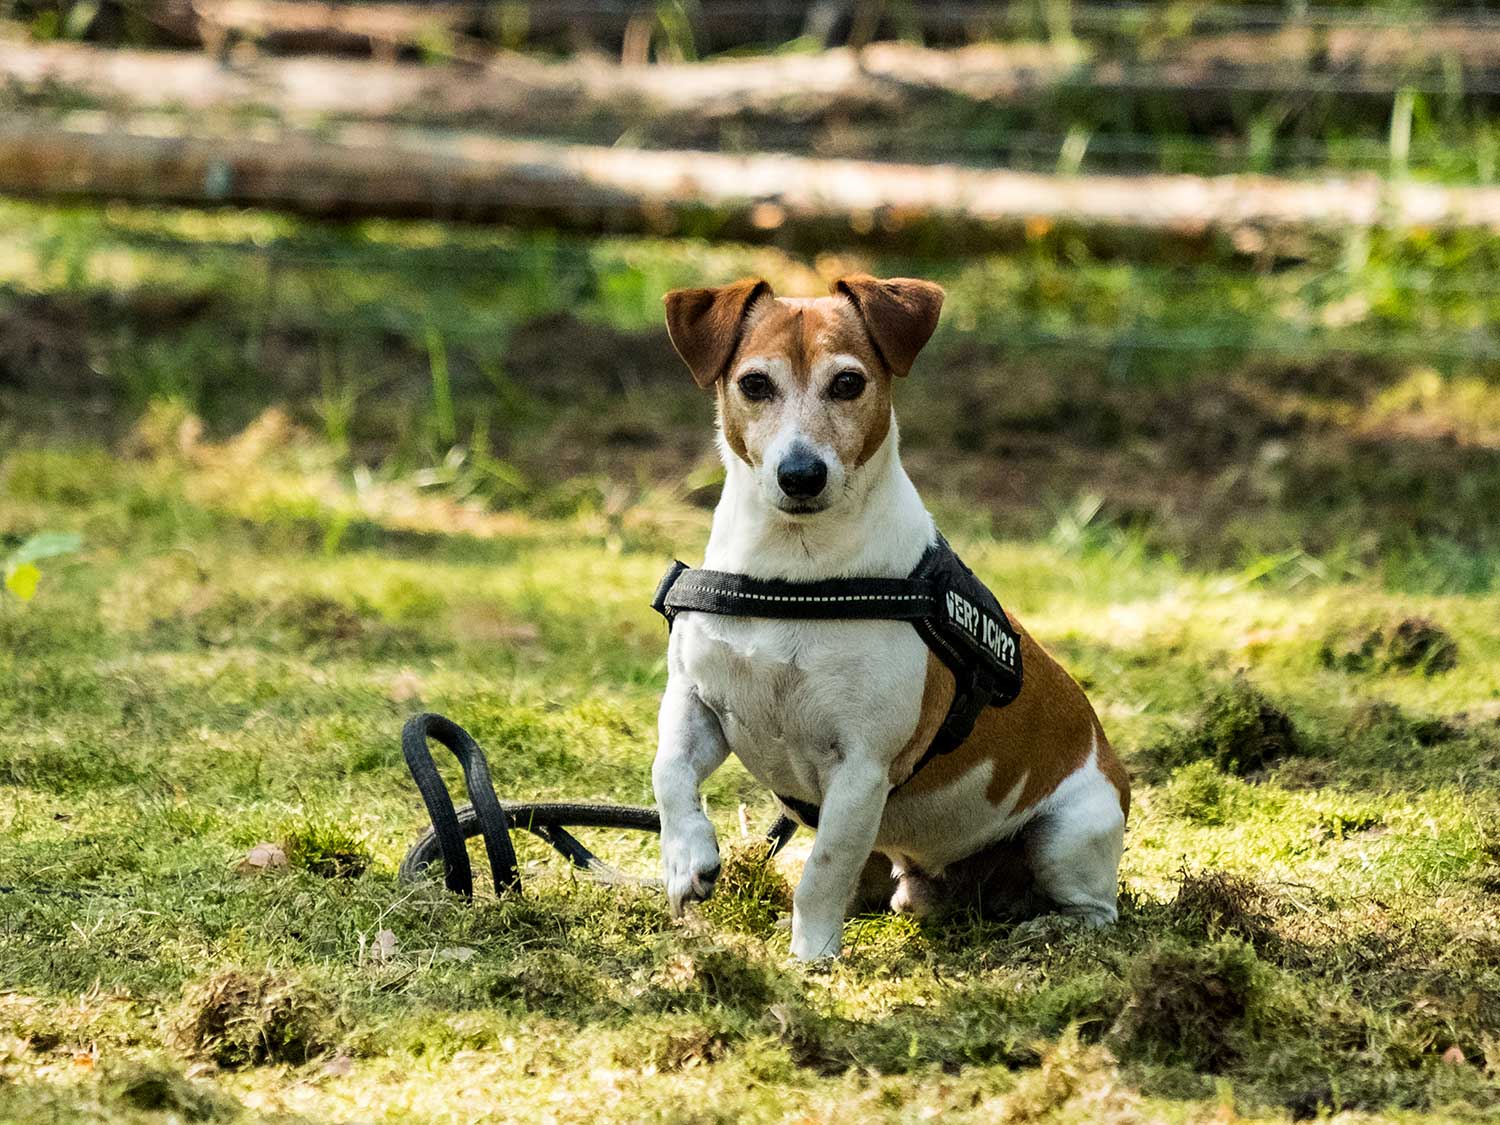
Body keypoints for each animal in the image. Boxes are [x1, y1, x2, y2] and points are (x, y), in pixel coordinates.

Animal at [651, 273, 1128, 960]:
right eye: (754, 384)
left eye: (848, 383)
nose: (801, 474)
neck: (793, 572)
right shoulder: (699, 705)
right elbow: (669, 772)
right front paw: (687, 859)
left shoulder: (862, 768)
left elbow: (823, 869)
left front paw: (810, 960)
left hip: (1070, 833)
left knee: (1094, 907)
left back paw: (1052, 927)